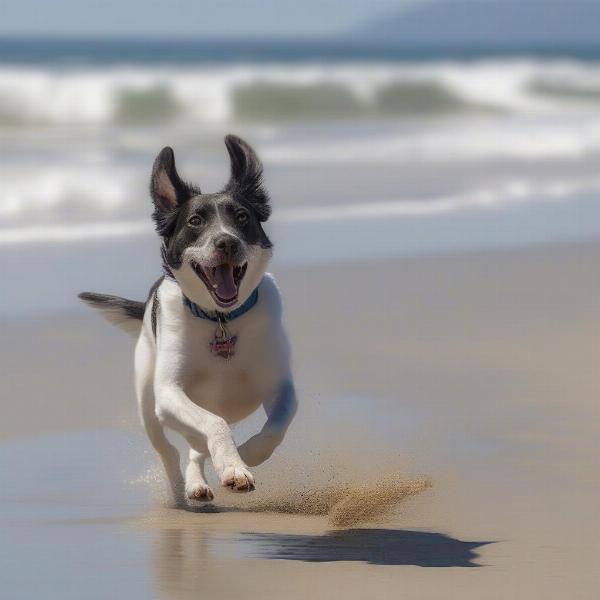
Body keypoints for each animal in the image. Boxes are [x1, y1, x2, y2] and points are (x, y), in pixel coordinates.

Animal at [77, 136, 298, 506]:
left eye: (242, 217)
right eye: (195, 221)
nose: (226, 242)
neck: (220, 319)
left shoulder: (279, 386)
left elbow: (277, 426)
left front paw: (244, 456)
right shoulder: (170, 393)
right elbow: (213, 424)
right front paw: (233, 464)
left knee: (196, 449)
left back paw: (201, 479)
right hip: (147, 402)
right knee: (170, 450)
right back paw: (184, 491)